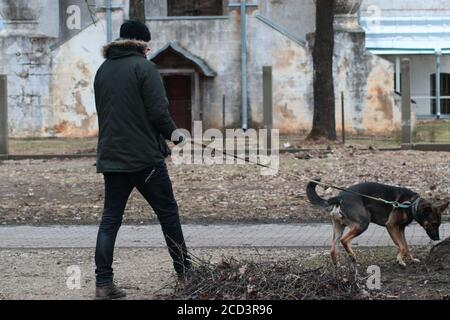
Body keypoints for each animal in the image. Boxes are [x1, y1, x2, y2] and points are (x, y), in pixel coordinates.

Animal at [306, 180, 446, 268]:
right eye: (433, 223)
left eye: (439, 224)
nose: (437, 238)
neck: (411, 204)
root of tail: (339, 197)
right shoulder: (391, 226)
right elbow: (401, 246)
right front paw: (400, 260)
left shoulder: (401, 229)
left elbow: (406, 246)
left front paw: (410, 259)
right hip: (362, 223)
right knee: (344, 240)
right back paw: (352, 255)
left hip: (339, 227)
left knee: (333, 249)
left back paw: (337, 266)